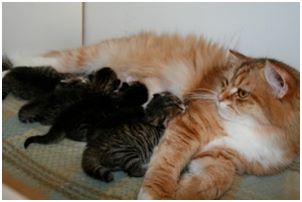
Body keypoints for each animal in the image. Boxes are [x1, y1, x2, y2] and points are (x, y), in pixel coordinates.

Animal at [7, 32, 300, 200]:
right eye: (226, 83)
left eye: (241, 93)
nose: (219, 97)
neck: (256, 130)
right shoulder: (188, 126)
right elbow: (166, 165)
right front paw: (157, 192)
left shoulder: (221, 158)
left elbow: (214, 183)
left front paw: (184, 188)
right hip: (86, 57)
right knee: (44, 59)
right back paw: (9, 67)